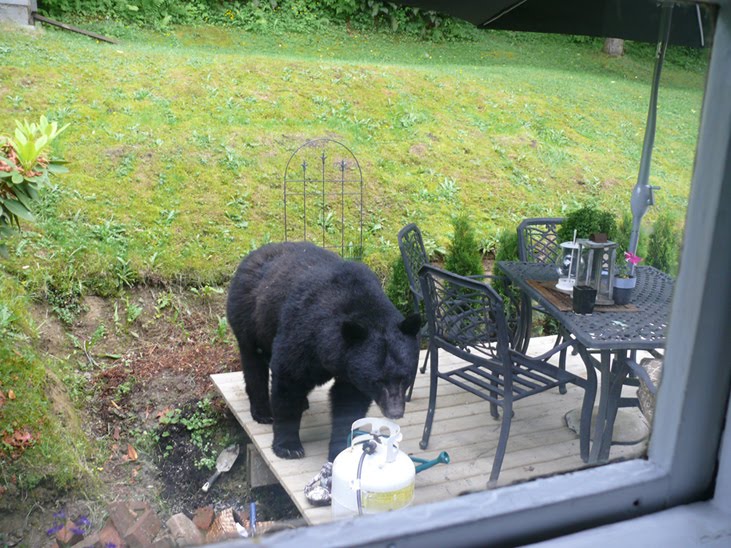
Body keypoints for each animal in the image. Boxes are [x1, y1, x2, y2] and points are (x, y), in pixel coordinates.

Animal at [226, 241, 421, 462]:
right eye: (378, 381)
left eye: (405, 378)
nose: (395, 412)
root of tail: (253, 254)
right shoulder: (303, 329)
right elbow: (289, 377)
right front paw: (288, 447)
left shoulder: (350, 365)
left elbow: (348, 401)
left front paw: (339, 450)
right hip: (249, 316)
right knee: (254, 362)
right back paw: (263, 411)